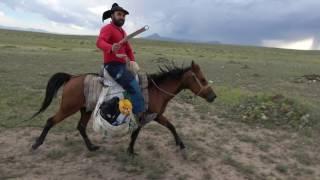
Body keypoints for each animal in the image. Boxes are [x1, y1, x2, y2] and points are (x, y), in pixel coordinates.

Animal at [31, 61, 216, 155]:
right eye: (202, 79)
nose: (213, 96)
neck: (156, 90)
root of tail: (72, 77)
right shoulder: (147, 115)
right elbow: (138, 133)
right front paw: (131, 151)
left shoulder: (154, 115)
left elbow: (170, 126)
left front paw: (181, 144)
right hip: (68, 108)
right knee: (50, 121)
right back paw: (36, 144)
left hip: (86, 109)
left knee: (81, 127)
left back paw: (92, 147)